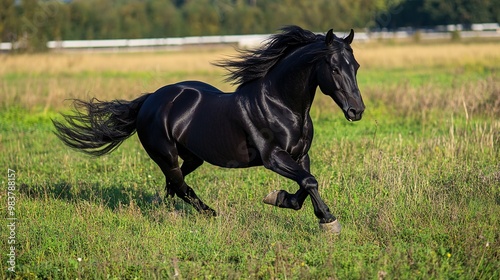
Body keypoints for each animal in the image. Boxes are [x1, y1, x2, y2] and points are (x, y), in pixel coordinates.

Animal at [53, 25, 364, 232]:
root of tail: (150, 100)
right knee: (180, 185)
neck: (281, 105)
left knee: (174, 185)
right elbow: (309, 182)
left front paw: (282, 199)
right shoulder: (273, 157)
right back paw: (210, 214)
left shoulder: (300, 155)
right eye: (334, 68)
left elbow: (306, 184)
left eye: (356, 66)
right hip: (165, 155)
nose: (356, 110)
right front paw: (328, 220)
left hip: (192, 157)